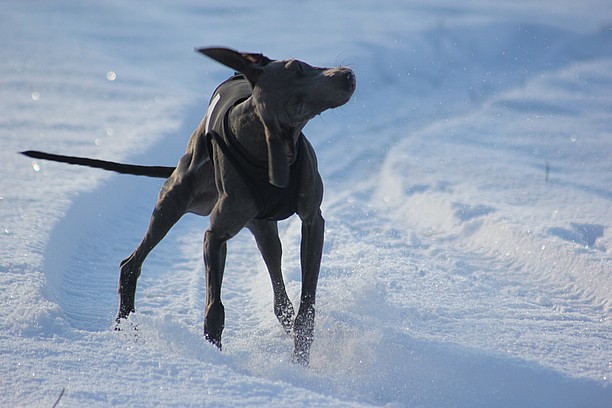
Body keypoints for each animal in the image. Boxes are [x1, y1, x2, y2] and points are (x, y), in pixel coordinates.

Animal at [22, 46, 358, 364]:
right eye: (296, 68)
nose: (348, 76)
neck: (266, 149)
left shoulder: (312, 221)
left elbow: (306, 307)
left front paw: (301, 359)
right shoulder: (216, 236)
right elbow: (214, 308)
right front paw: (214, 356)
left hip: (260, 227)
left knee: (279, 291)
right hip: (174, 200)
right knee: (131, 264)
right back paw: (124, 329)